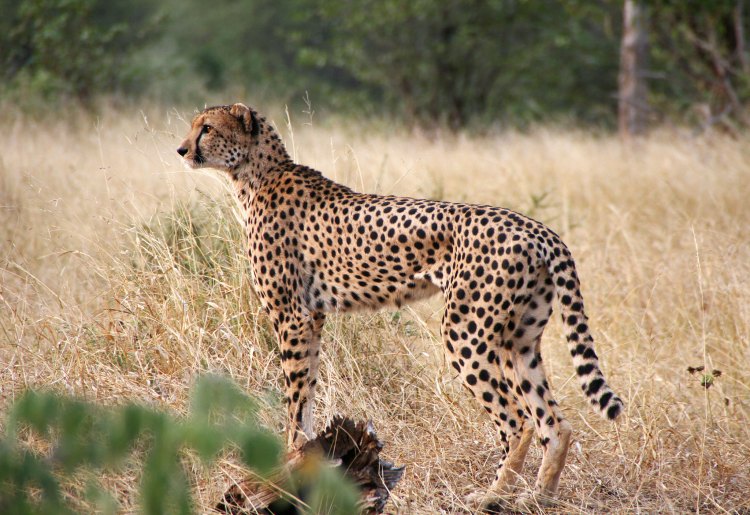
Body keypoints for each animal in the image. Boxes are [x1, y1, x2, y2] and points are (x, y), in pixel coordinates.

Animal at [177, 103, 624, 511]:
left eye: (207, 128)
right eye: (194, 125)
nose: (181, 149)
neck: (255, 174)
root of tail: (538, 229)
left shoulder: (293, 317)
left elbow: (296, 401)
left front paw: (288, 463)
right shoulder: (313, 318)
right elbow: (309, 391)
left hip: (465, 334)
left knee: (519, 422)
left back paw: (493, 496)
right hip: (520, 341)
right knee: (555, 423)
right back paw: (539, 496)